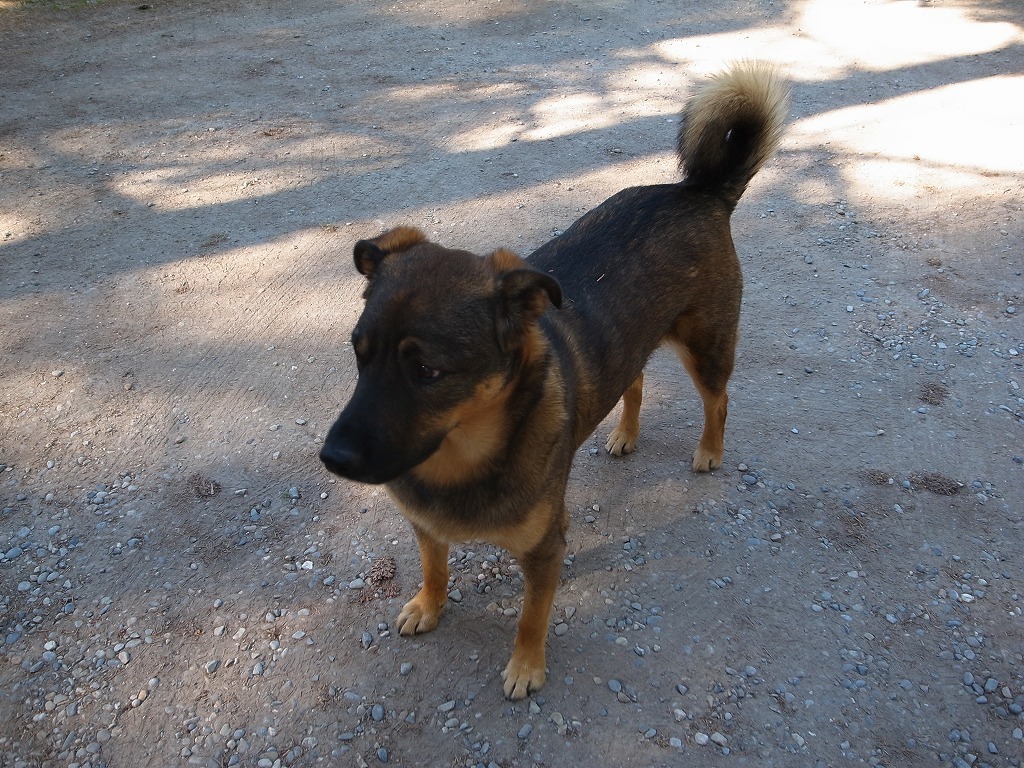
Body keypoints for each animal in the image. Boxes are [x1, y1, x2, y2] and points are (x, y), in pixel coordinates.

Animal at [319, 63, 790, 700]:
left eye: (427, 371)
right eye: (358, 354)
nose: (332, 458)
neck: (462, 458)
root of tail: (699, 192)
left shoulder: (545, 550)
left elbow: (531, 617)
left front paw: (525, 667)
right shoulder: (426, 527)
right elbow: (435, 568)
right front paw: (428, 605)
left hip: (707, 348)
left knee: (718, 400)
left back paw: (709, 451)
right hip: (634, 345)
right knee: (634, 382)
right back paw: (623, 435)